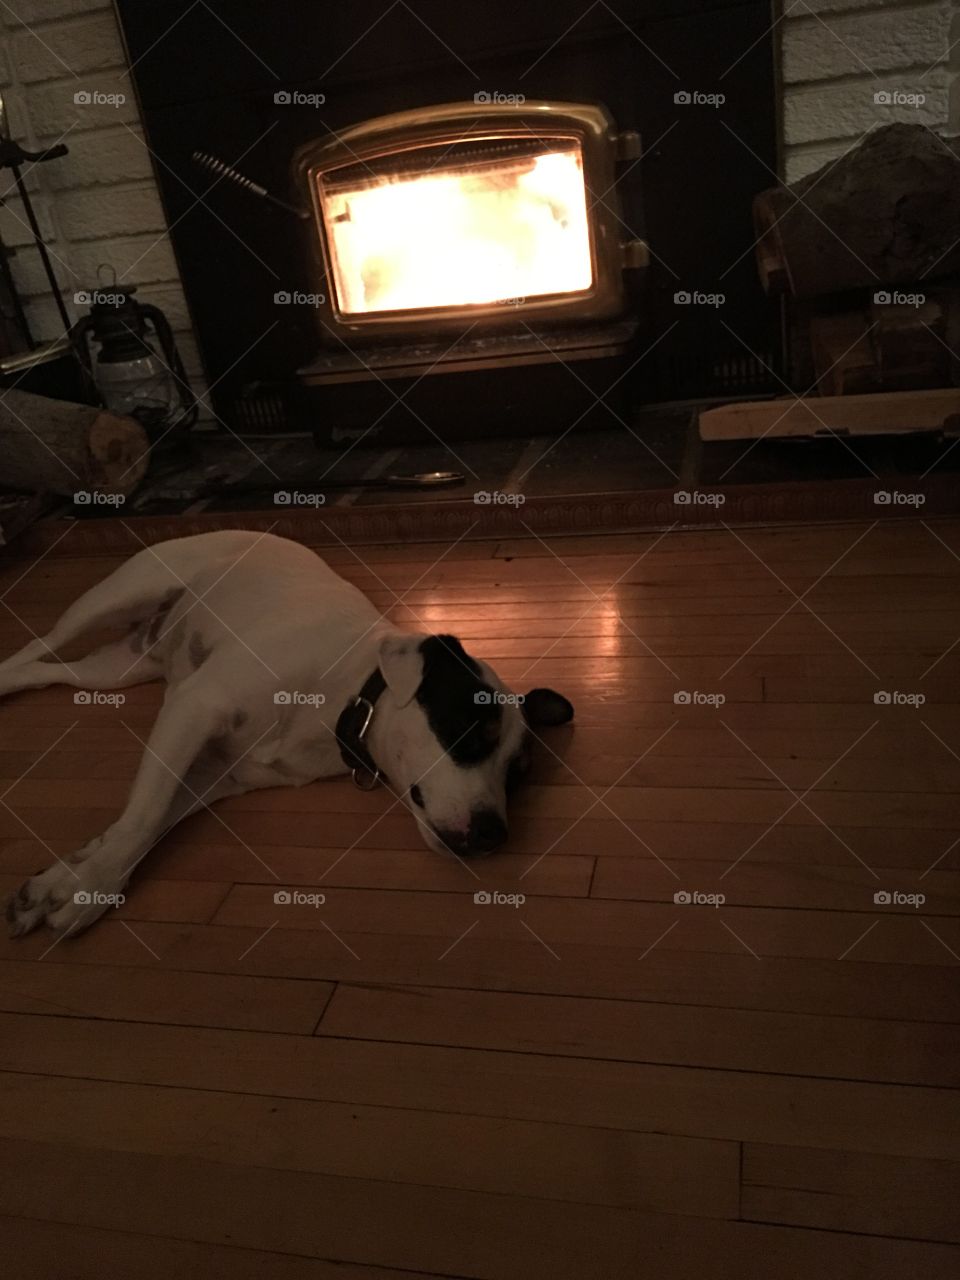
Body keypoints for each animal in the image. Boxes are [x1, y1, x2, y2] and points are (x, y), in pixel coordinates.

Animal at [0, 529, 576, 942]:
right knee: (34, 646)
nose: (494, 835)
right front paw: (89, 890)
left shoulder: (213, 773)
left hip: (114, 671)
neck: (348, 696)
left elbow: (146, 823)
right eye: (468, 734)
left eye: (518, 775)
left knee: (44, 671)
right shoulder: (194, 709)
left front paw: (71, 877)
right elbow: (142, 818)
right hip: (114, 598)